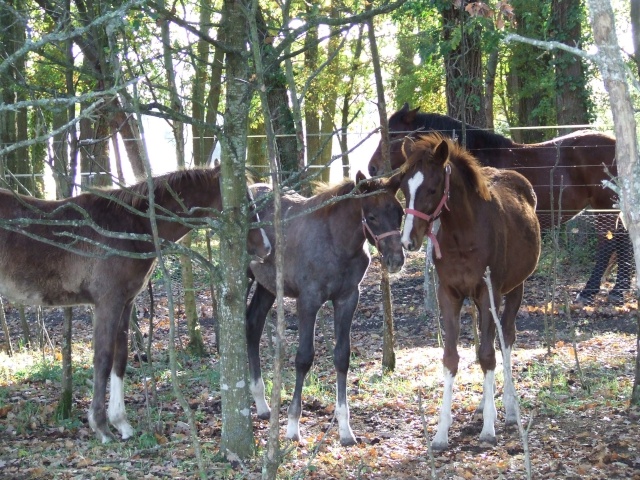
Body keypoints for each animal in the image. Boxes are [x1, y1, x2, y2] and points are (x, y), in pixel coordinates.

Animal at [0, 167, 272, 444]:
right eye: (245, 205)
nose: (267, 249)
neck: (129, 226)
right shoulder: (108, 302)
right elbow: (103, 359)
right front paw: (101, 427)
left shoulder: (126, 302)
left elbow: (120, 358)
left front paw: (121, 423)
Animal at [246, 172, 404, 446]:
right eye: (372, 216)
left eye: (400, 213)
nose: (396, 260)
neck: (337, 244)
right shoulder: (308, 301)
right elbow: (303, 358)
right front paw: (292, 426)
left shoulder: (347, 298)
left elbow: (342, 357)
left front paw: (345, 429)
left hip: (267, 287)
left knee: (254, 323)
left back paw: (262, 404)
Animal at [368, 104, 632, 304]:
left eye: (393, 135)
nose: (372, 168)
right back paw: (618, 290)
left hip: (604, 207)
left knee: (609, 243)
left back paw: (591, 291)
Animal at [392, 134, 544, 450]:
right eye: (403, 188)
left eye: (432, 188)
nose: (408, 241)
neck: (463, 234)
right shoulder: (449, 295)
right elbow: (452, 357)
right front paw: (441, 433)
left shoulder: (489, 293)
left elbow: (488, 354)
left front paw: (488, 429)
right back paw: (485, 406)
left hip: (515, 288)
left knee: (506, 338)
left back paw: (508, 408)